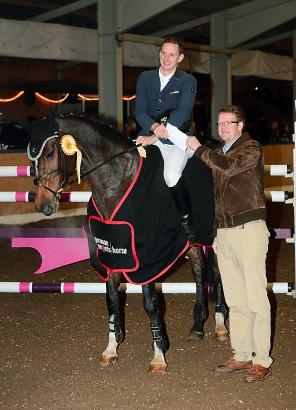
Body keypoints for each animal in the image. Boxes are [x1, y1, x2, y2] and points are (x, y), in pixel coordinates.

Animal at [26, 113, 228, 374]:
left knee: (218, 274)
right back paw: (197, 327)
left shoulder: (146, 259)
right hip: (191, 245)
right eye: (31, 158)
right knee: (199, 272)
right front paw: (111, 349)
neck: (116, 180)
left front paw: (158, 356)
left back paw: (221, 326)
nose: (43, 206)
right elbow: (112, 300)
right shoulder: (111, 253)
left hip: (215, 236)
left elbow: (151, 304)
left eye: (50, 153)